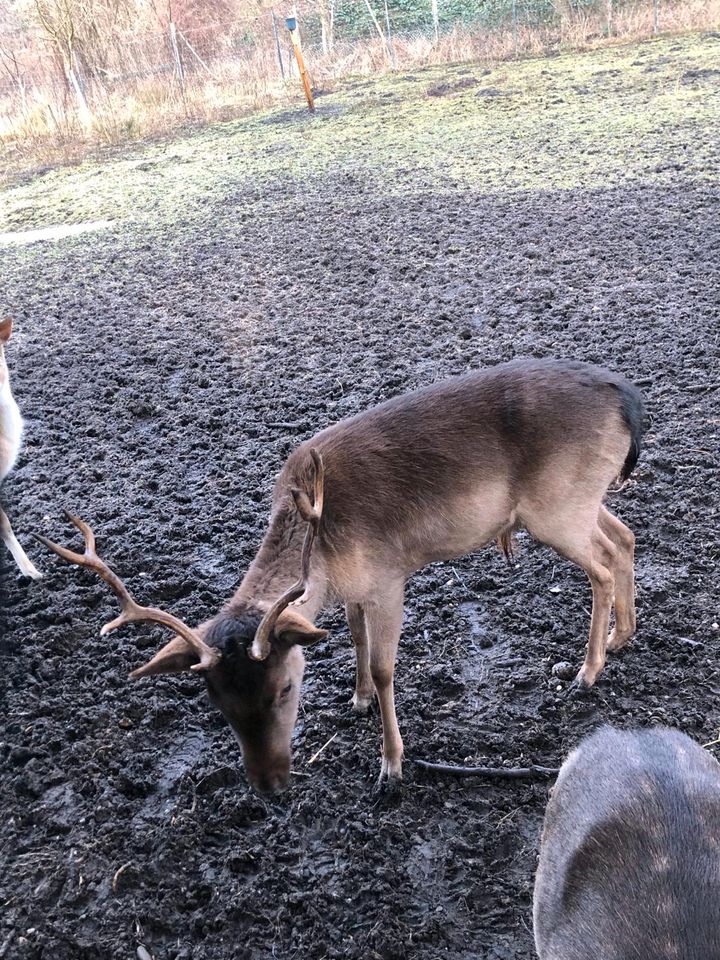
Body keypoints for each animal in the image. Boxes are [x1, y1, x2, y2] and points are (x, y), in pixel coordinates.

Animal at [42, 360, 644, 796]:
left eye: (285, 688)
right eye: (216, 702)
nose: (269, 785)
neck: (327, 558)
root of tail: (627, 398)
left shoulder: (387, 578)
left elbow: (383, 667)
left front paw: (391, 764)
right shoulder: (352, 589)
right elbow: (352, 637)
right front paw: (355, 699)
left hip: (556, 507)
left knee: (600, 566)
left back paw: (588, 670)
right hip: (580, 502)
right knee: (624, 538)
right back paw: (622, 635)